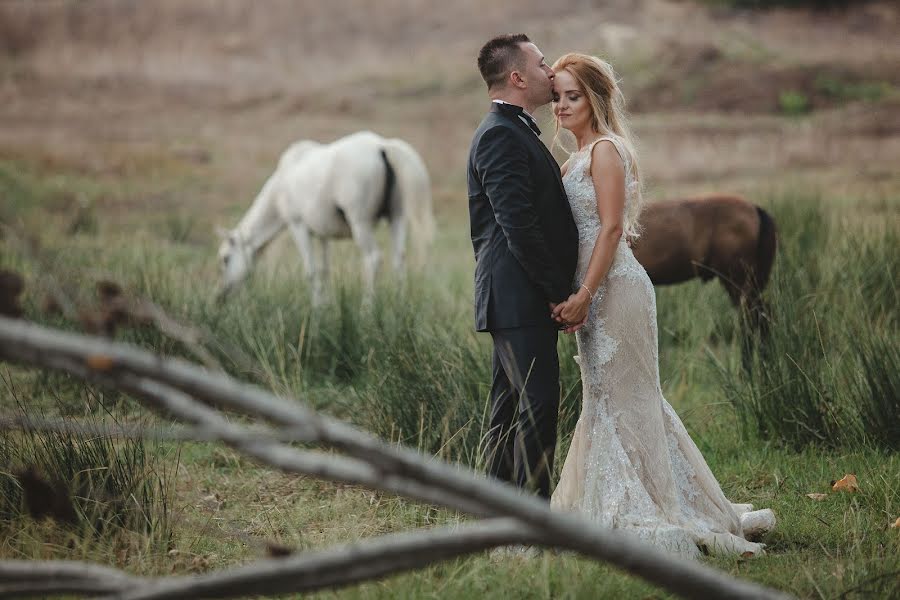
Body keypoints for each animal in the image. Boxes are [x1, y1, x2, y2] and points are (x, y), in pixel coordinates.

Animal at [214, 129, 432, 302]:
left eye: (225, 259)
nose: (222, 295)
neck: (280, 186)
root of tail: (382, 146)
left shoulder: (298, 226)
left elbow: (311, 272)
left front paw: (316, 310)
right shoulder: (322, 235)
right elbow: (324, 270)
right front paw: (327, 307)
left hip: (360, 223)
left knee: (373, 258)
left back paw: (367, 308)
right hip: (397, 218)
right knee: (399, 260)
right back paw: (400, 305)